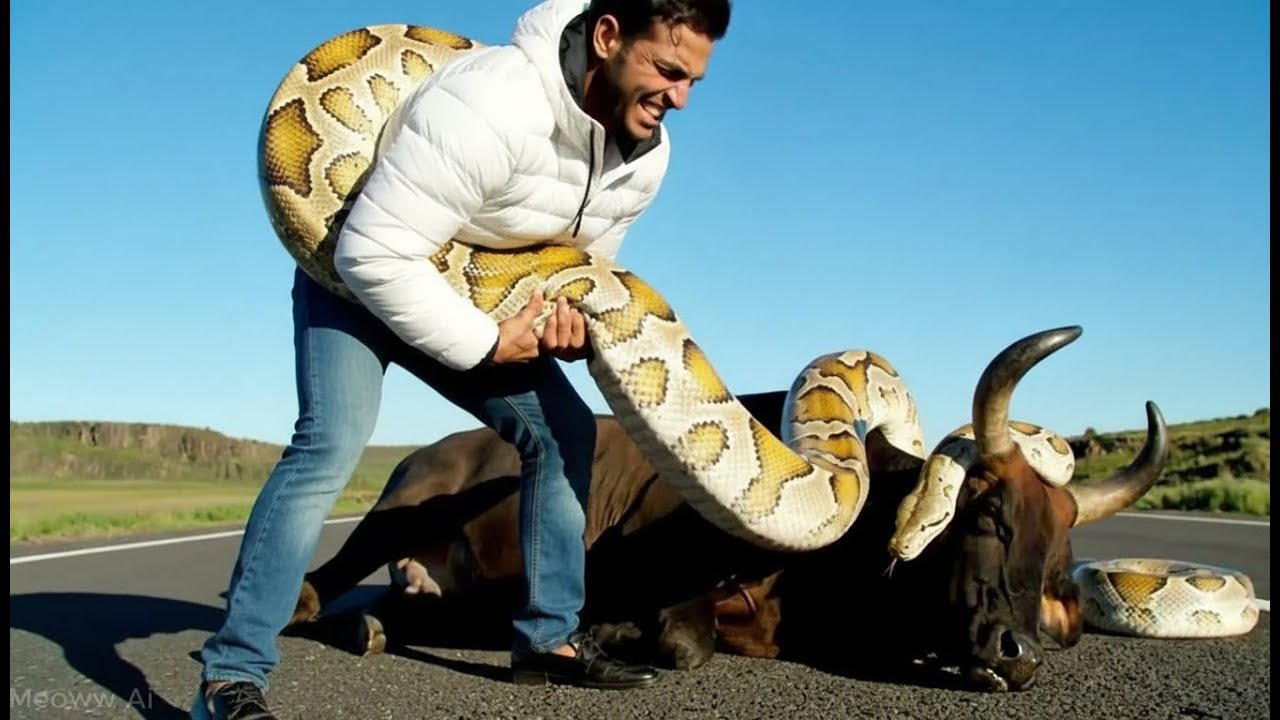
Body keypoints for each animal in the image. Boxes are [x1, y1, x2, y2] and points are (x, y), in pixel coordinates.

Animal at [285, 327, 1169, 692]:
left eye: (1064, 551)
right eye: (983, 513)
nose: (1022, 651)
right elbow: (684, 643)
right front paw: (612, 634)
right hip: (397, 510)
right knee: (314, 591)